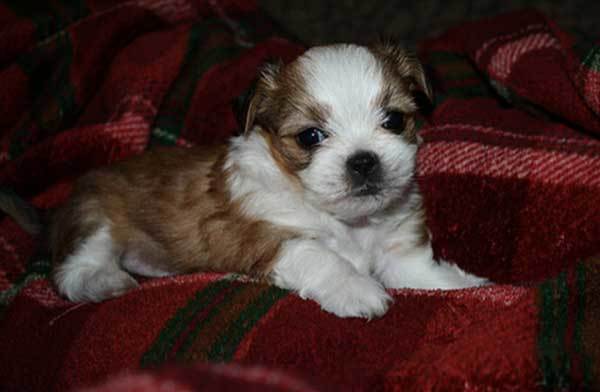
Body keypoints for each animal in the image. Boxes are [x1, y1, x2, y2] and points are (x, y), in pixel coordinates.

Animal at [51, 43, 488, 318]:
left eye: (394, 120)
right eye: (310, 136)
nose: (363, 161)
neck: (347, 223)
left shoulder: (397, 252)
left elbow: (420, 273)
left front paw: (467, 285)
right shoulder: (267, 238)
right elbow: (321, 256)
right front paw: (358, 290)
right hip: (97, 216)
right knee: (74, 269)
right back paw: (105, 281)